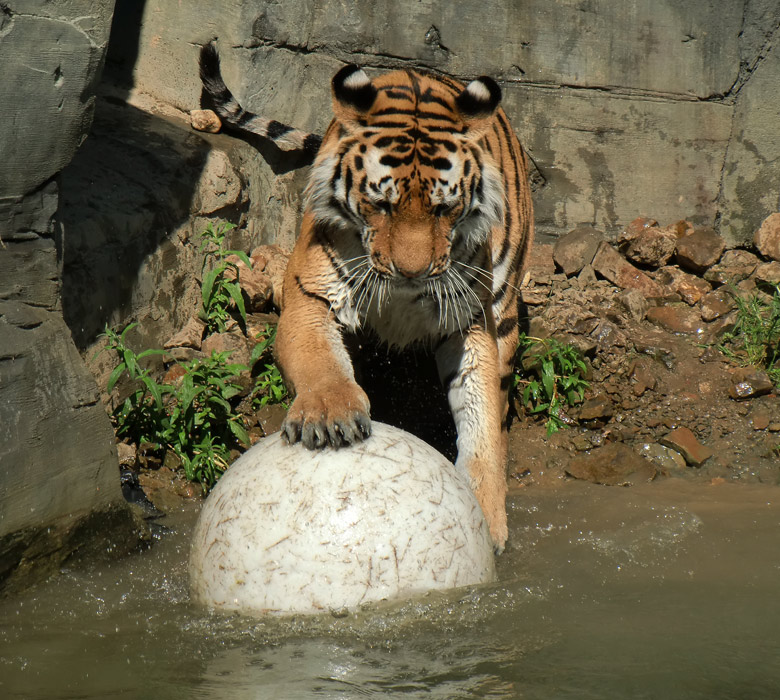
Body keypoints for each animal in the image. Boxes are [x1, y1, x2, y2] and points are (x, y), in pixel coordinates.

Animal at [198, 43, 532, 552]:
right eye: (381, 205)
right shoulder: (310, 295)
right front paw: (331, 415)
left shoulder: (469, 318)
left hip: (506, 309)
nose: (412, 272)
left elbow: (481, 416)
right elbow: (318, 359)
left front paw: (486, 512)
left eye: (444, 208)